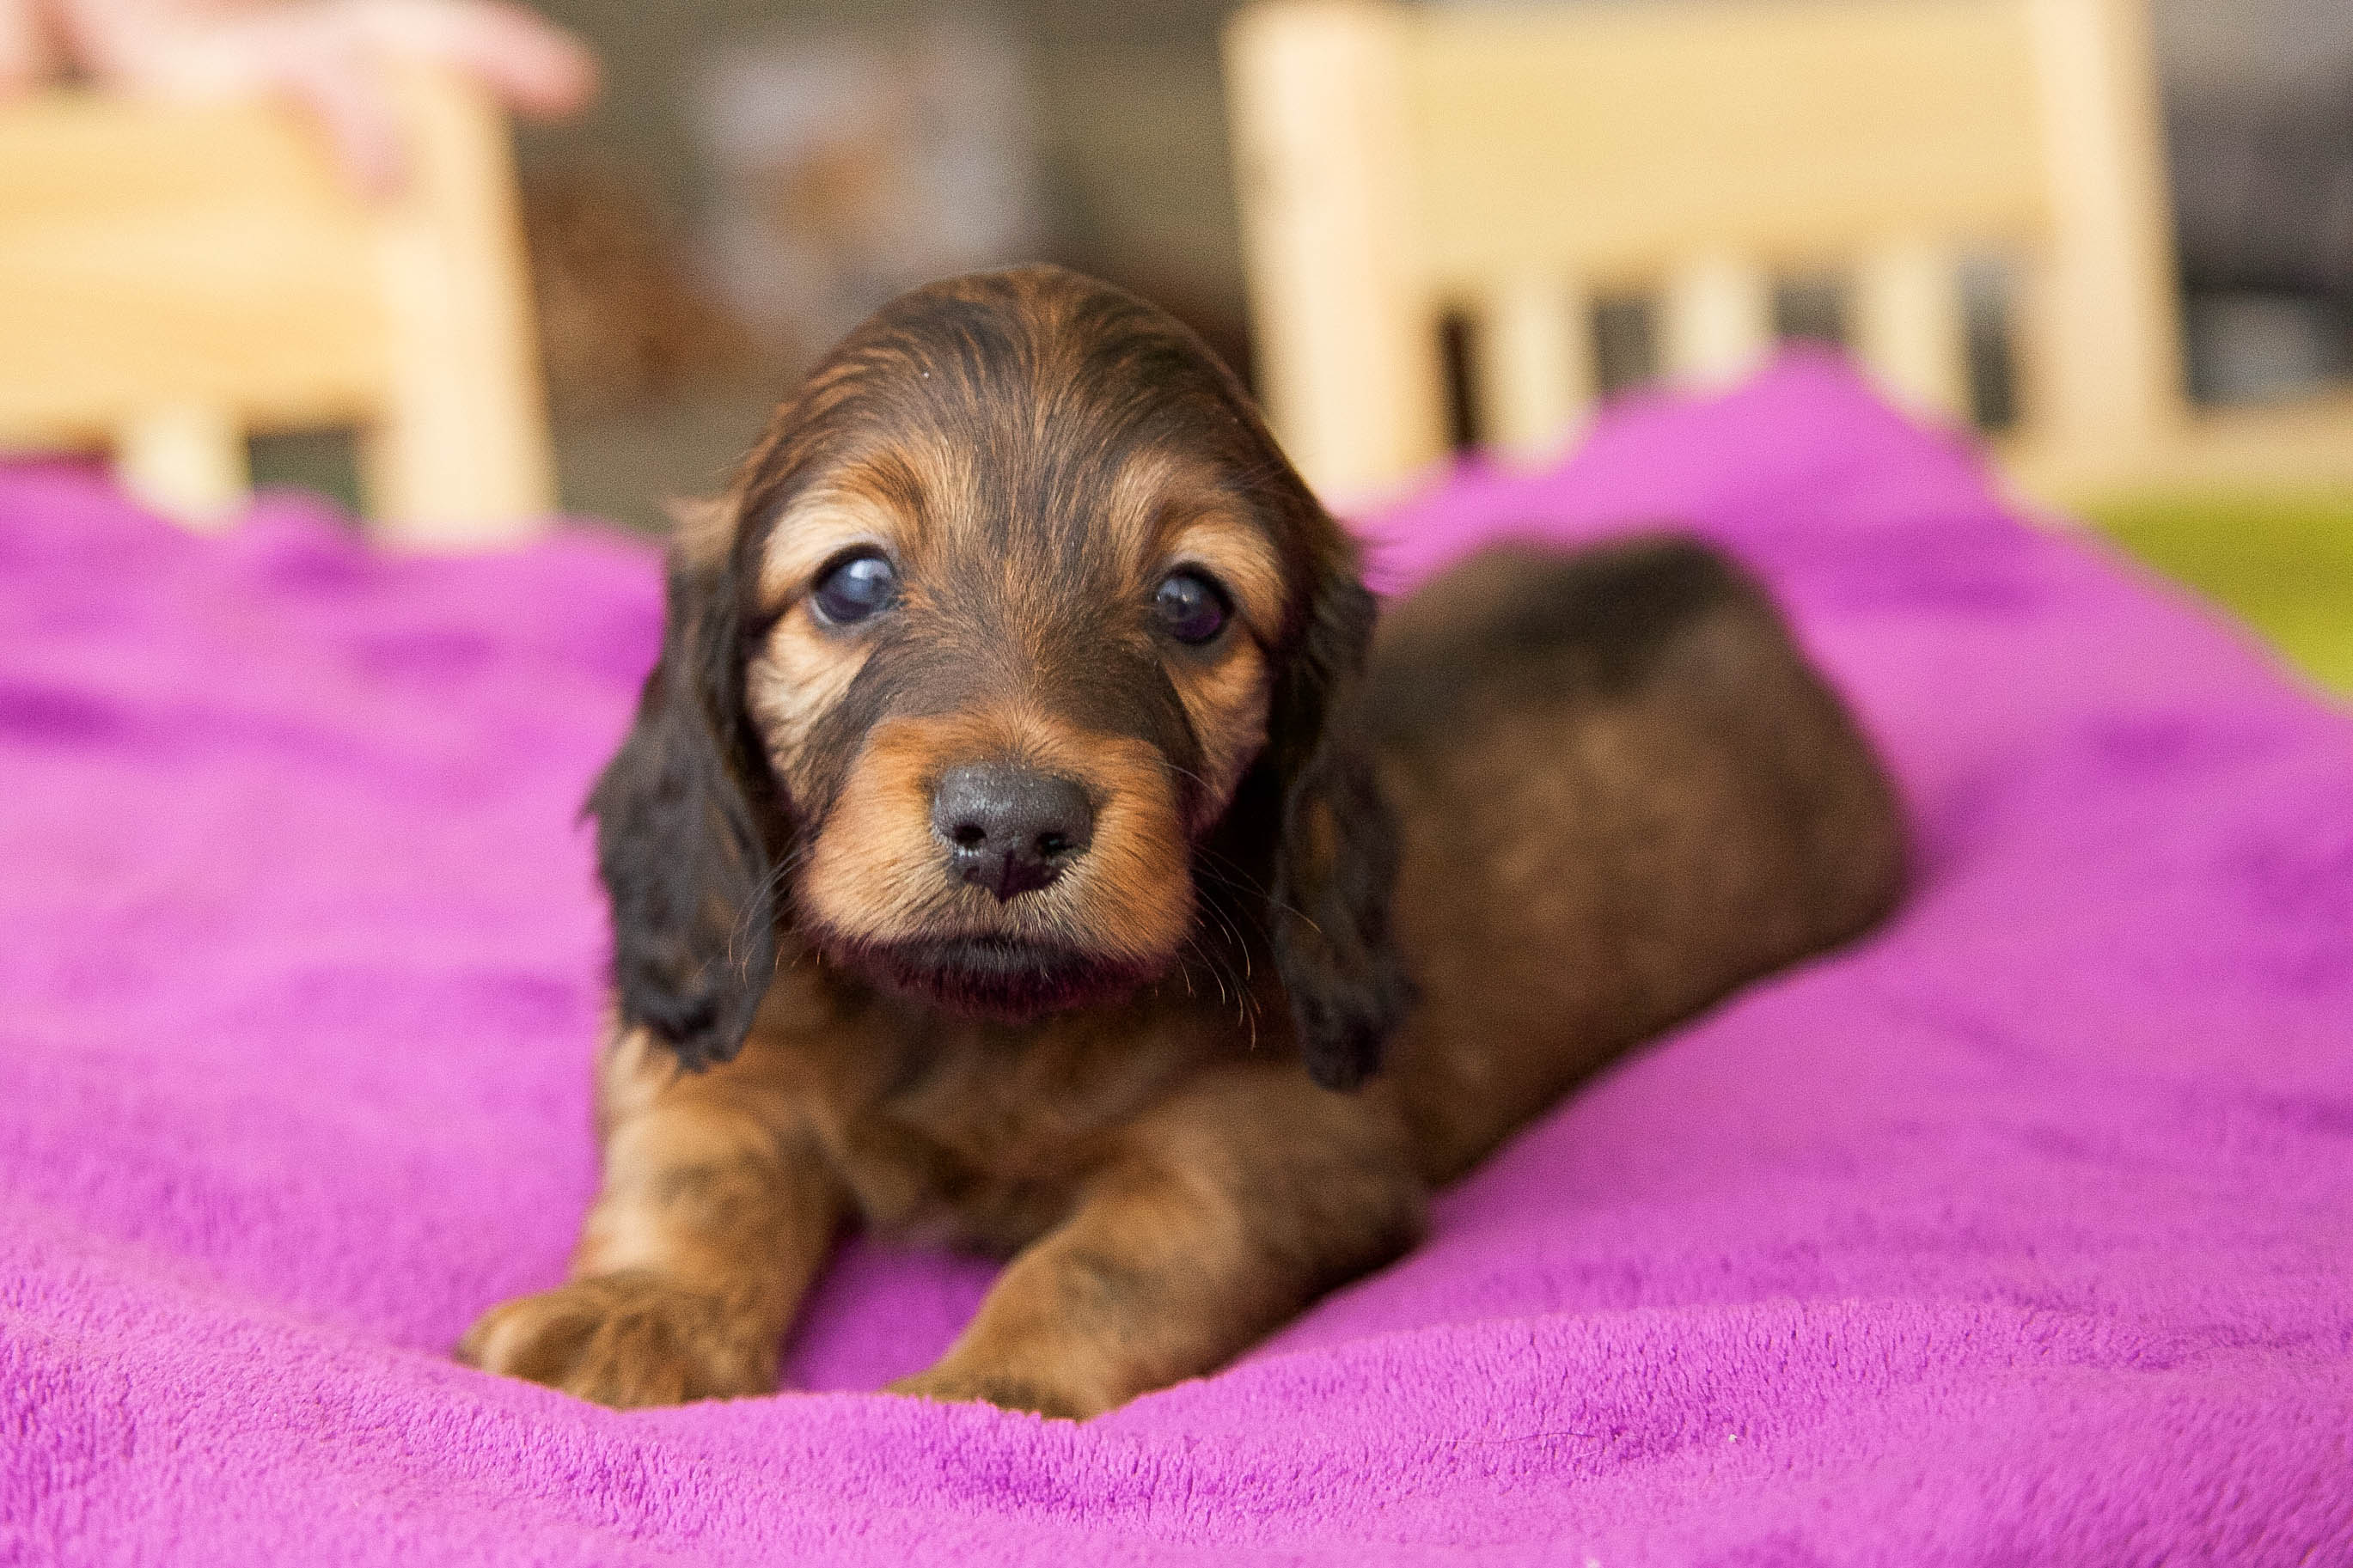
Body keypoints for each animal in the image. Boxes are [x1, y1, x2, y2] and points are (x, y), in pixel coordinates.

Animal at [458, 266, 1910, 1419]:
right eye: (853, 581)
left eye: (1192, 603)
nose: (1010, 826)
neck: (966, 1026)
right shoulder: (727, 1032)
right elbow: (699, 1169)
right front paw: (634, 1315)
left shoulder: (1276, 1155)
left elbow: (1095, 1264)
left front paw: (982, 1392)